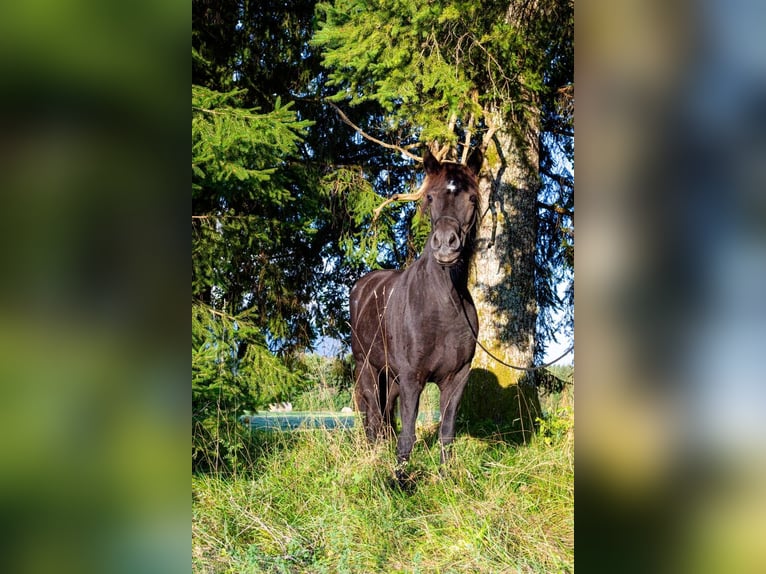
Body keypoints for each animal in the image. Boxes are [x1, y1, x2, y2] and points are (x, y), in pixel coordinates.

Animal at [352, 148, 484, 476]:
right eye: (431, 197)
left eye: (472, 199)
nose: (446, 246)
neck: (441, 305)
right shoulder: (412, 378)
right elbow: (408, 433)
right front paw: (400, 478)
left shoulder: (456, 378)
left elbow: (446, 431)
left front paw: (447, 476)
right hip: (366, 367)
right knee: (372, 414)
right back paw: (373, 454)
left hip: (391, 377)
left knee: (385, 413)